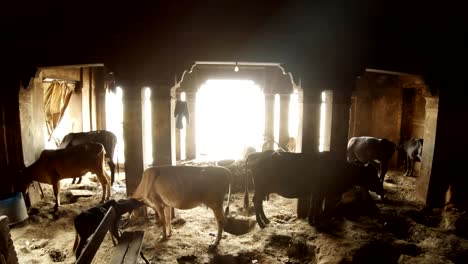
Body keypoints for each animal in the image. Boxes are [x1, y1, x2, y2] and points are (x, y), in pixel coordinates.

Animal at [247, 152, 382, 228]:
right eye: (371, 174)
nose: (380, 189)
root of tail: (257, 155)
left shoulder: (318, 192)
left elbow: (314, 204)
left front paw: (313, 219)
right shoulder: (318, 191)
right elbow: (315, 205)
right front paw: (314, 221)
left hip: (262, 189)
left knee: (259, 203)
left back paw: (266, 220)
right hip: (260, 188)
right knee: (256, 202)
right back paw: (261, 223)